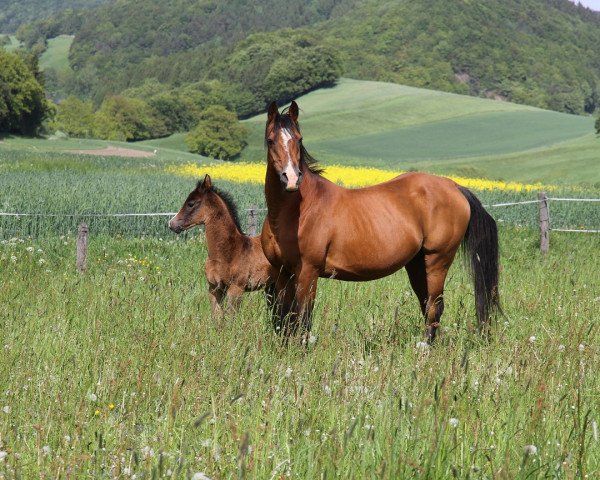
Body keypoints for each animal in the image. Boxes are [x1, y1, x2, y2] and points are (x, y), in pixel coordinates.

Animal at [166, 176, 274, 316]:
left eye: (191, 203)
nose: (171, 224)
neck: (228, 252)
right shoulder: (214, 289)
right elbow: (216, 317)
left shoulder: (236, 289)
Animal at [260, 101, 500, 342]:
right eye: (271, 140)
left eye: (299, 139)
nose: (291, 179)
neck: (298, 210)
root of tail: (454, 186)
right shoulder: (282, 273)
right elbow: (284, 319)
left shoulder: (308, 272)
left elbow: (303, 319)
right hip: (417, 264)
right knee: (427, 306)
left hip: (437, 260)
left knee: (434, 307)